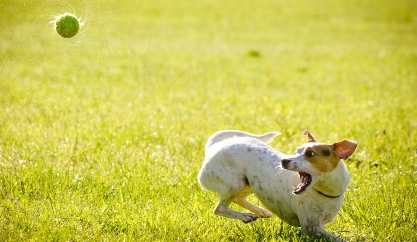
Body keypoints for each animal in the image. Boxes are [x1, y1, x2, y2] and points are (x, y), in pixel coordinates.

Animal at [198, 130, 358, 240]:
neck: (324, 192)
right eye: (296, 151)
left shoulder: (319, 226)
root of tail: (214, 146)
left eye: (310, 154)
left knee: (238, 199)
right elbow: (338, 239)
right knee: (220, 208)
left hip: (249, 184)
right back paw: (245, 216)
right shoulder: (312, 228)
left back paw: (260, 212)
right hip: (235, 183)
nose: (284, 161)